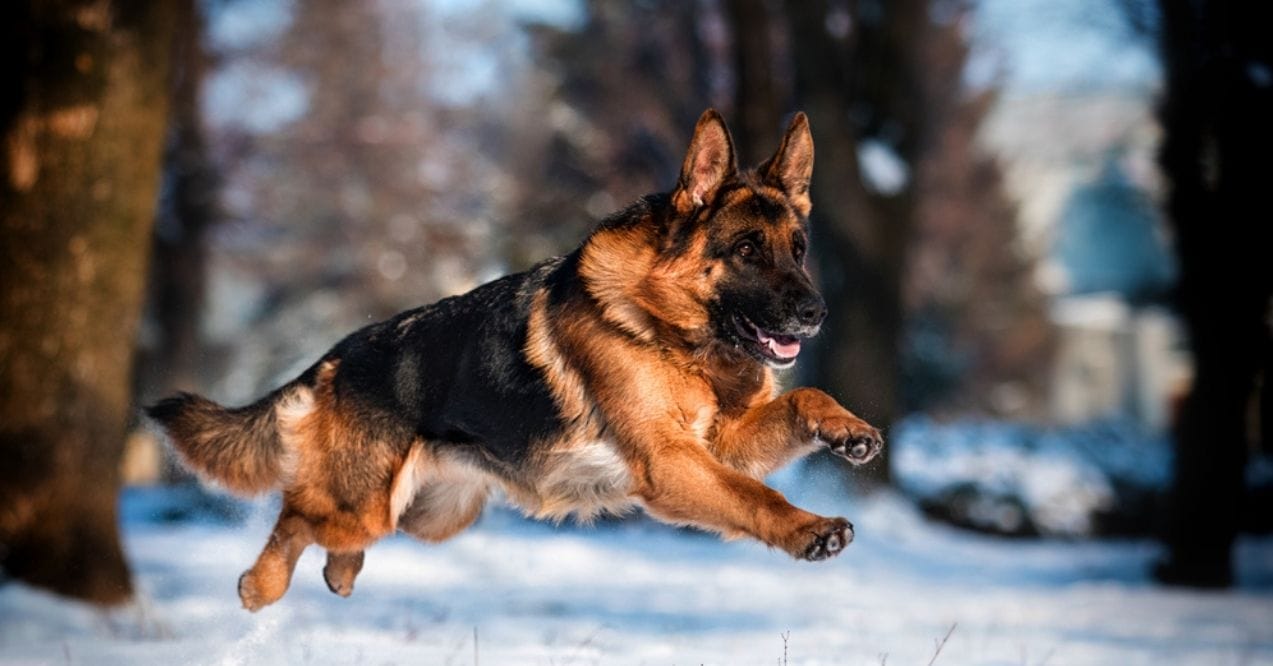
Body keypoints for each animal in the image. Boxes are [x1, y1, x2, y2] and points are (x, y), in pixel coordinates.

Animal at [148, 108, 880, 608]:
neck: (670, 331)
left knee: (333, 538)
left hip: (430, 515)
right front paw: (808, 528)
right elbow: (755, 494)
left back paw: (338, 572)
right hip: (363, 502)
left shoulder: (719, 445)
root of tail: (335, 356)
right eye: (747, 251)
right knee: (296, 513)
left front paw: (848, 430)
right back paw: (258, 585)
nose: (815, 312)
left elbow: (803, 400)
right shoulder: (673, 464)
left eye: (798, 249)